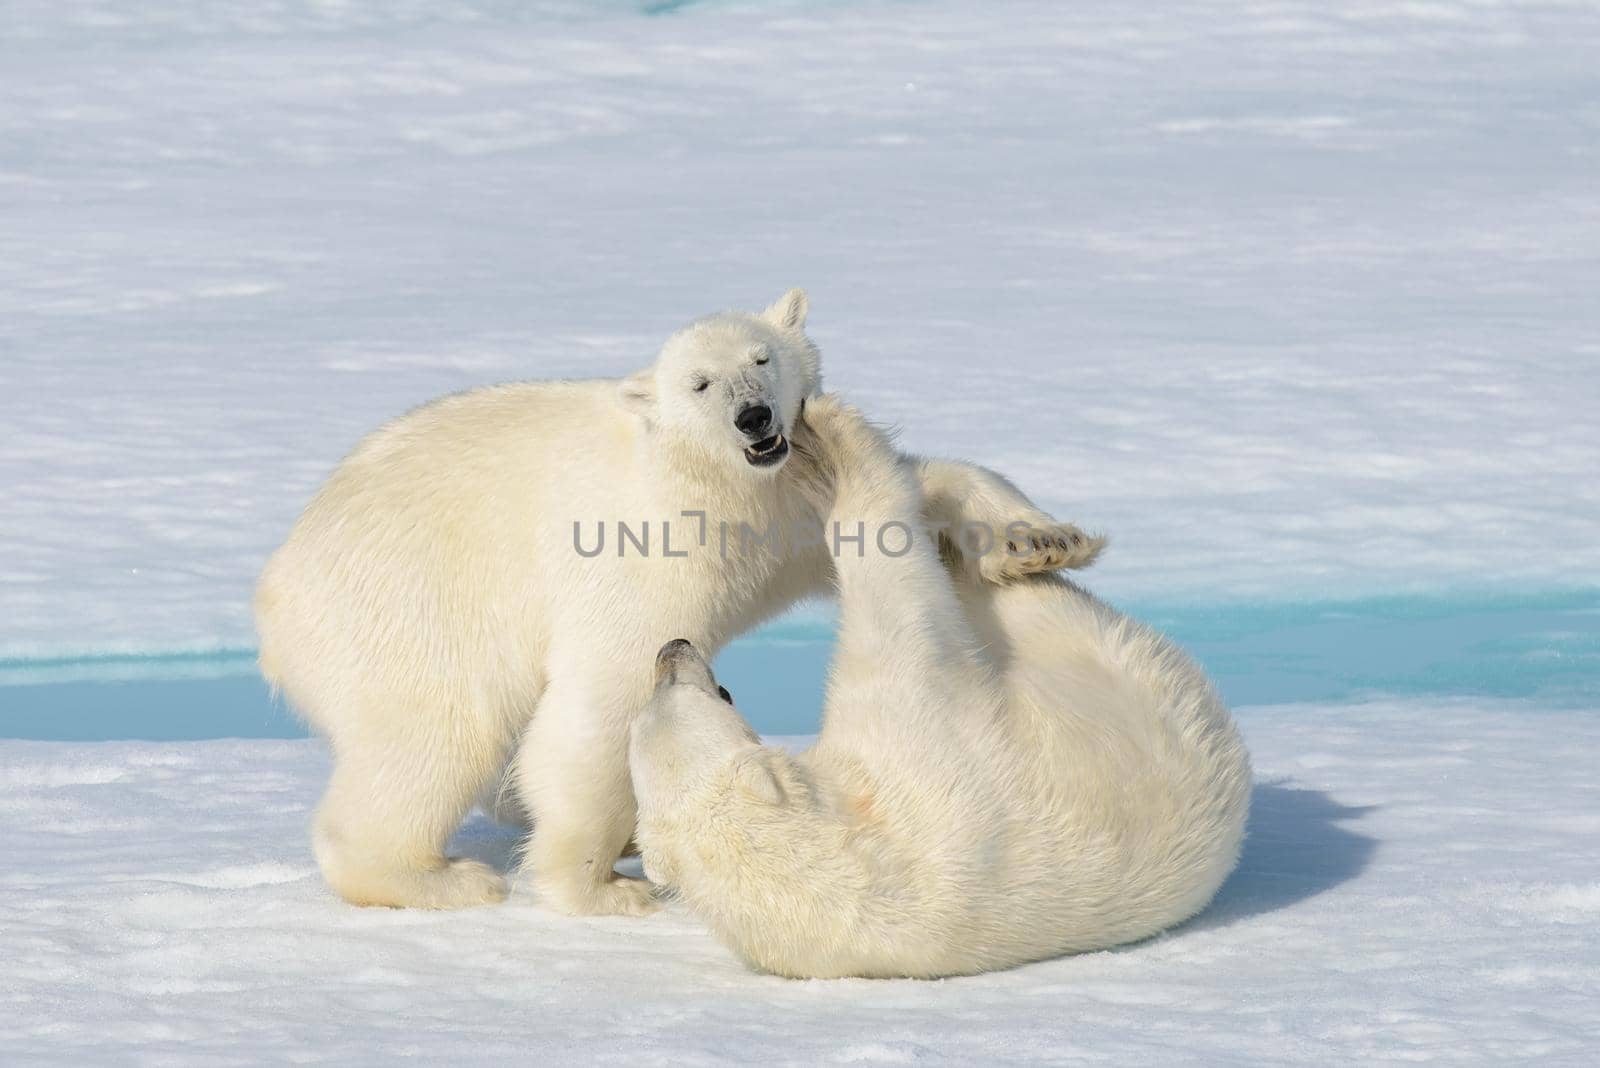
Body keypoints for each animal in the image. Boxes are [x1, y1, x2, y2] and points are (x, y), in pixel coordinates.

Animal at [256, 287, 1107, 914]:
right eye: (699, 384)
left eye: (763, 358)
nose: (754, 415)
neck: (712, 481)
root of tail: (275, 590)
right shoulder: (644, 550)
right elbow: (602, 699)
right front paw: (600, 888)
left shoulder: (780, 508)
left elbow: (913, 493)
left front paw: (1042, 541)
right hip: (412, 609)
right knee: (434, 734)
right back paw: (441, 876)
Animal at [624, 394, 1248, 978]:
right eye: (717, 694)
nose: (671, 648)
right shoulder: (911, 733)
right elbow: (901, 595)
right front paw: (837, 452)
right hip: (1098, 654)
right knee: (997, 594)